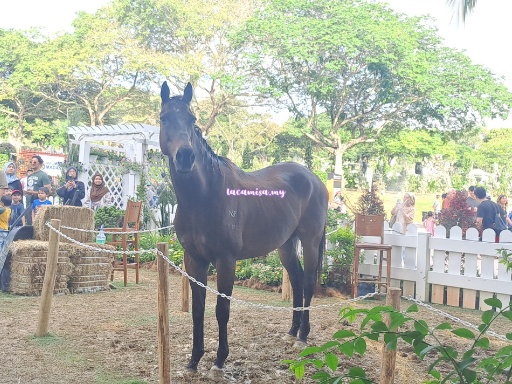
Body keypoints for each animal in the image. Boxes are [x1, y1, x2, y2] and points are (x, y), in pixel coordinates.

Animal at [160, 81, 328, 372]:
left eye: (192, 121)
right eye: (163, 118)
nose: (185, 156)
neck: (204, 197)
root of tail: (314, 178)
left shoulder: (226, 260)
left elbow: (221, 309)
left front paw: (219, 360)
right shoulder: (194, 259)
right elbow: (198, 308)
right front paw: (194, 359)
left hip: (310, 241)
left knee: (307, 283)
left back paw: (303, 337)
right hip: (286, 245)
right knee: (296, 281)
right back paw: (291, 332)